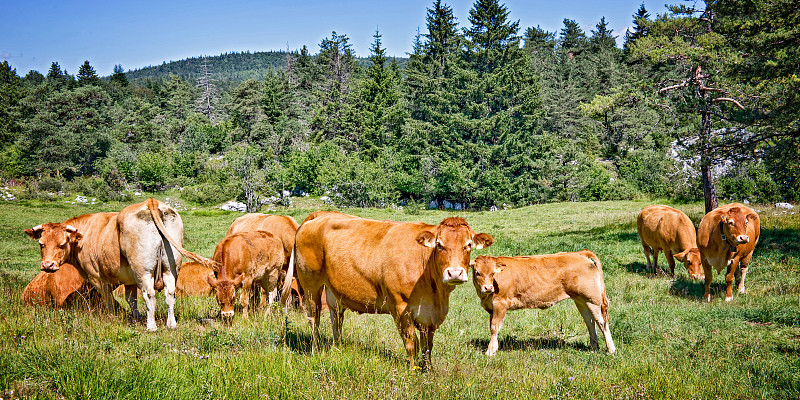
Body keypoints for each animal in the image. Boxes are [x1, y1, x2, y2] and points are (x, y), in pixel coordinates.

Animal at [24, 198, 216, 332]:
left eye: (62, 244)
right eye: (41, 244)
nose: (48, 265)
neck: (85, 235)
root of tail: (150, 201)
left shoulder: (98, 278)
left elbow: (108, 298)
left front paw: (111, 317)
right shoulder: (129, 280)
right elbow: (131, 300)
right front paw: (137, 317)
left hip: (143, 271)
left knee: (149, 294)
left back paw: (151, 326)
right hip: (170, 268)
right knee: (170, 294)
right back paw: (171, 324)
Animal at [282, 211, 494, 368]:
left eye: (468, 245)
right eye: (439, 245)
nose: (455, 273)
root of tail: (321, 214)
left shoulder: (430, 316)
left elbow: (428, 346)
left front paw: (428, 369)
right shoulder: (401, 308)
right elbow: (411, 344)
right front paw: (413, 370)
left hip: (333, 289)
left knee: (336, 318)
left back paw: (337, 347)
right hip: (311, 284)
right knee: (314, 318)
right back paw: (316, 350)